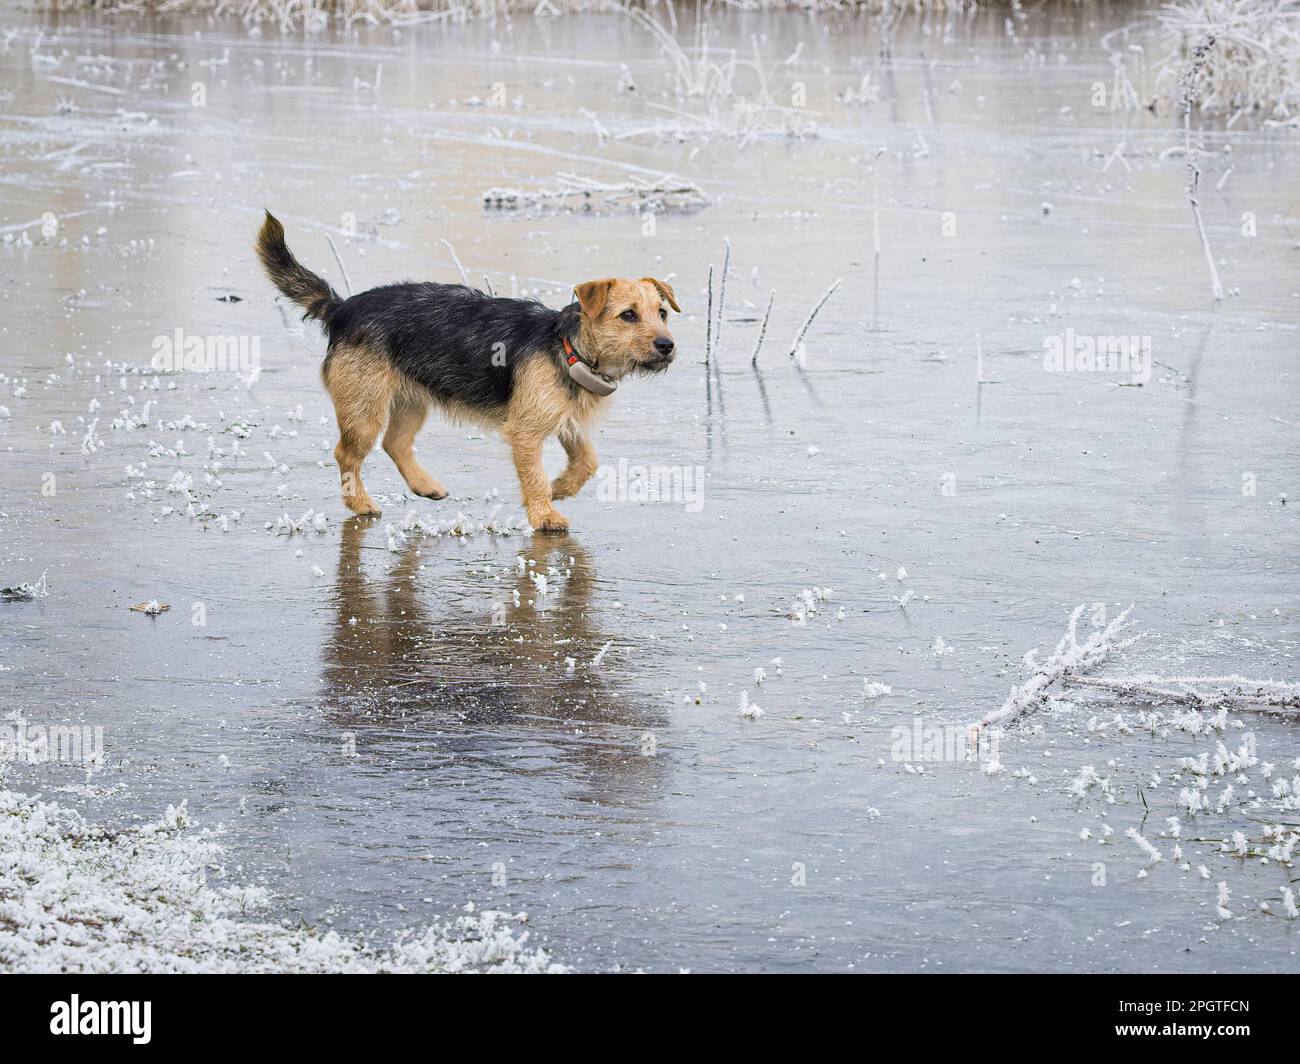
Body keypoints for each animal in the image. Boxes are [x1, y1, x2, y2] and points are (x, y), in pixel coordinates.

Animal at [253, 212, 681, 530]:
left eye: (661, 313)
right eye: (628, 315)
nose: (667, 346)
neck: (567, 346)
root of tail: (342, 308)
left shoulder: (566, 421)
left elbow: (588, 462)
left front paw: (559, 487)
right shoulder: (526, 431)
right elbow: (535, 474)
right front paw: (545, 513)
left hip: (412, 400)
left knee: (395, 443)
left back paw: (425, 485)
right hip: (365, 407)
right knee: (347, 453)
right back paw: (359, 503)